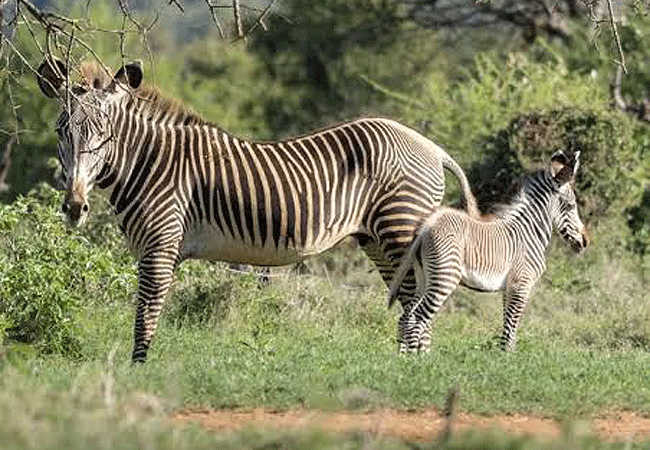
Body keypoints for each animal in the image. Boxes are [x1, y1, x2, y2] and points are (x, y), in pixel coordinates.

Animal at [36, 57, 479, 362]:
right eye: (62, 131)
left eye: (104, 135)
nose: (74, 207)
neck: (149, 163)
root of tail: (432, 147)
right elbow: (149, 310)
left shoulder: (161, 245)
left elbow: (146, 311)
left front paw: (137, 371)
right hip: (376, 237)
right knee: (410, 295)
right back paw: (410, 363)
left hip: (401, 226)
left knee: (425, 294)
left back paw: (414, 363)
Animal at [388, 151, 589, 352]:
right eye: (571, 206)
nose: (585, 241)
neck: (528, 232)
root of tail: (427, 226)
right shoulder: (521, 284)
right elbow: (511, 329)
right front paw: (508, 356)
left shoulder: (509, 288)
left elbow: (508, 328)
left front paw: (504, 355)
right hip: (445, 277)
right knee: (418, 318)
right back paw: (419, 358)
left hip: (424, 277)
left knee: (406, 317)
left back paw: (403, 356)